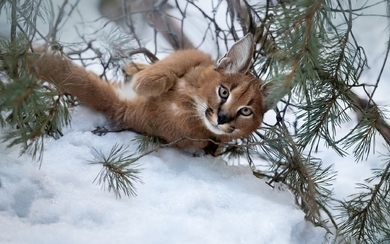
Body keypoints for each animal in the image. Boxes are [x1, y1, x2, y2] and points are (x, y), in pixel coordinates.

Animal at [28, 33, 268, 154]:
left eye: (246, 111)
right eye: (224, 92)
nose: (223, 117)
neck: (190, 105)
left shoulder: (124, 108)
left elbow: (83, 83)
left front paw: (36, 58)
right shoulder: (197, 57)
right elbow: (172, 65)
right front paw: (145, 81)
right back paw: (135, 68)